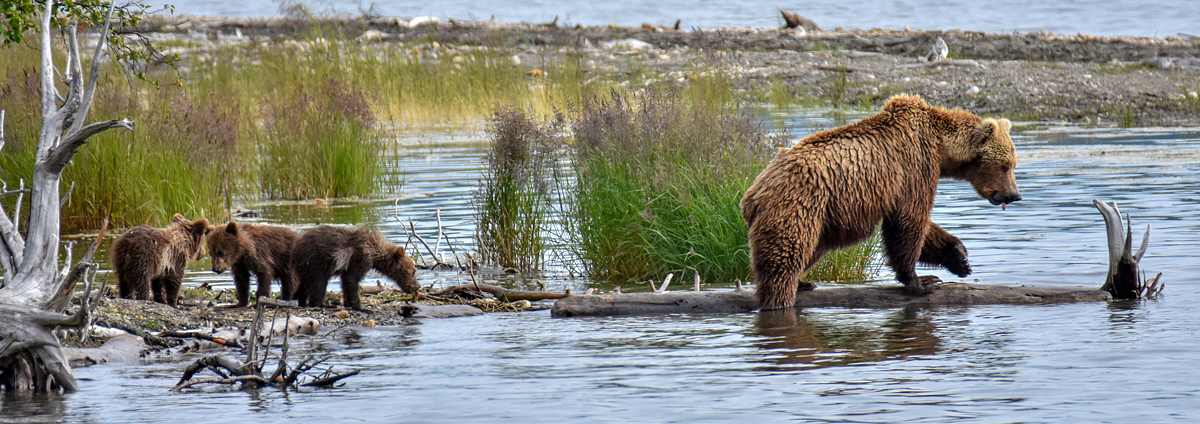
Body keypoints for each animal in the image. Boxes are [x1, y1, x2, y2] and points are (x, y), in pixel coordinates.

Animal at [291, 225, 420, 309]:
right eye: (414, 271)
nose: (417, 286)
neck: (375, 254)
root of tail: (296, 248)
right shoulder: (360, 258)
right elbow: (352, 280)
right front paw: (359, 305)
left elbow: (346, 282)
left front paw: (348, 303)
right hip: (316, 262)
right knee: (319, 284)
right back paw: (320, 304)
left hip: (306, 267)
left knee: (306, 284)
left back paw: (301, 300)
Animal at [739, 94, 1022, 309]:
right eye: (1006, 165)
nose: (1014, 195)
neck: (942, 148)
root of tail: (754, 193)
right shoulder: (916, 167)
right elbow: (910, 220)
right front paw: (922, 281)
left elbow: (919, 224)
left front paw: (959, 257)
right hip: (799, 204)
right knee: (785, 255)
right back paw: (781, 298)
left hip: (820, 217)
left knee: (810, 249)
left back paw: (803, 282)